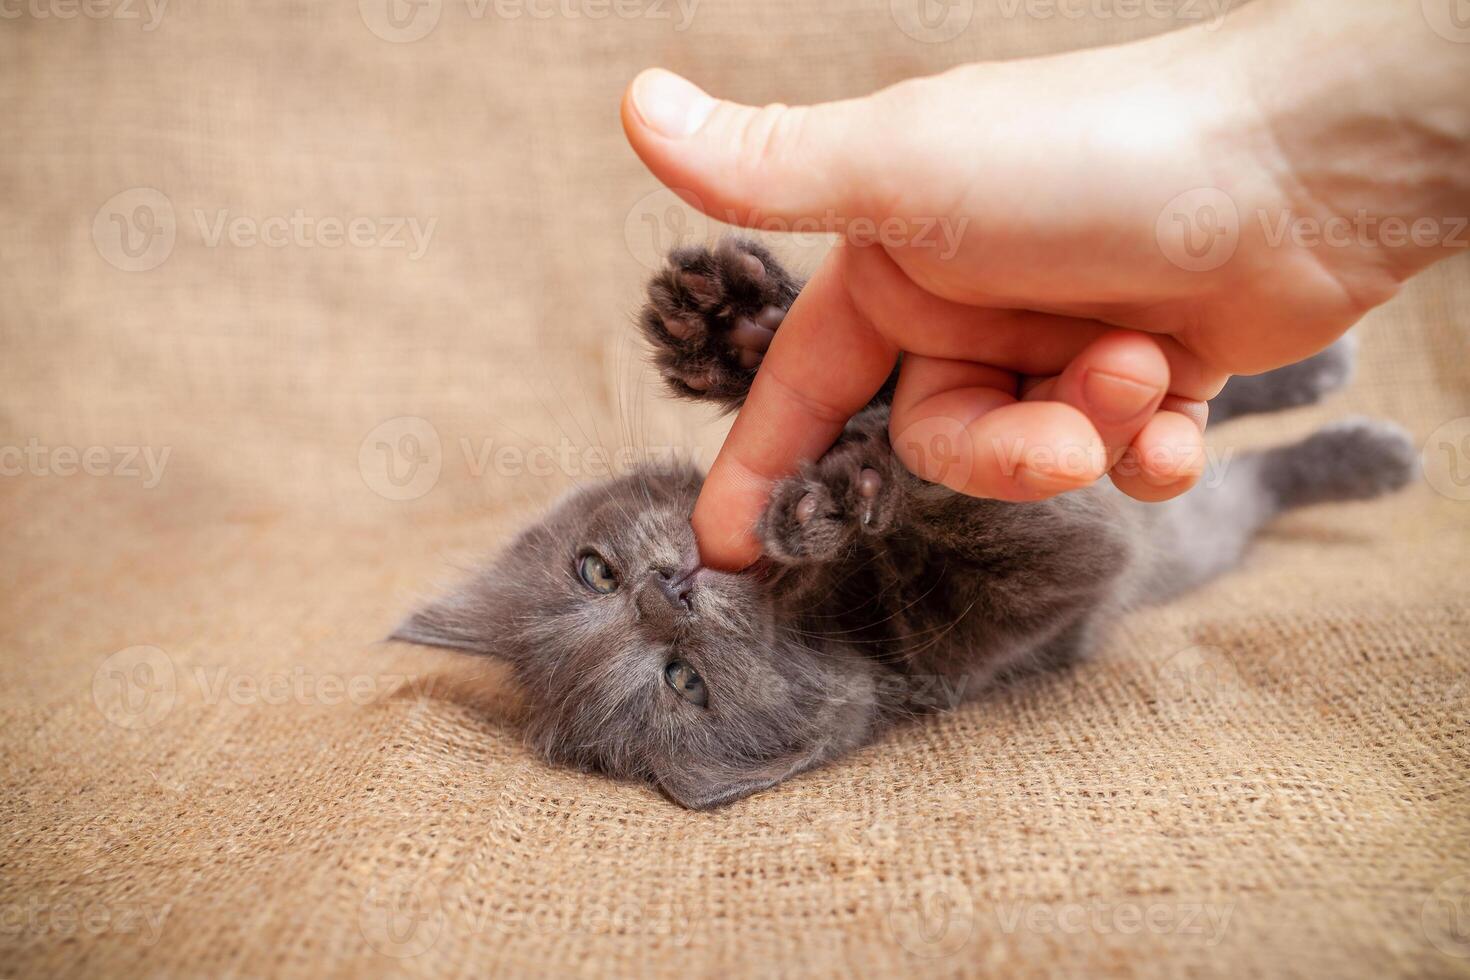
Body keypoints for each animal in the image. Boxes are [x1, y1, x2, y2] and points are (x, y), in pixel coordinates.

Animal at [396, 239, 1417, 811]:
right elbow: (1010, 518)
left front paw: (733, 329)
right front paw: (849, 498)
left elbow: (869, 374)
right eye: (682, 683)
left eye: (593, 572)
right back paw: (1366, 447)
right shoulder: (1006, 615)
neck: (823, 599)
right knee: (1230, 474)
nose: (664, 589)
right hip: (1195, 535)